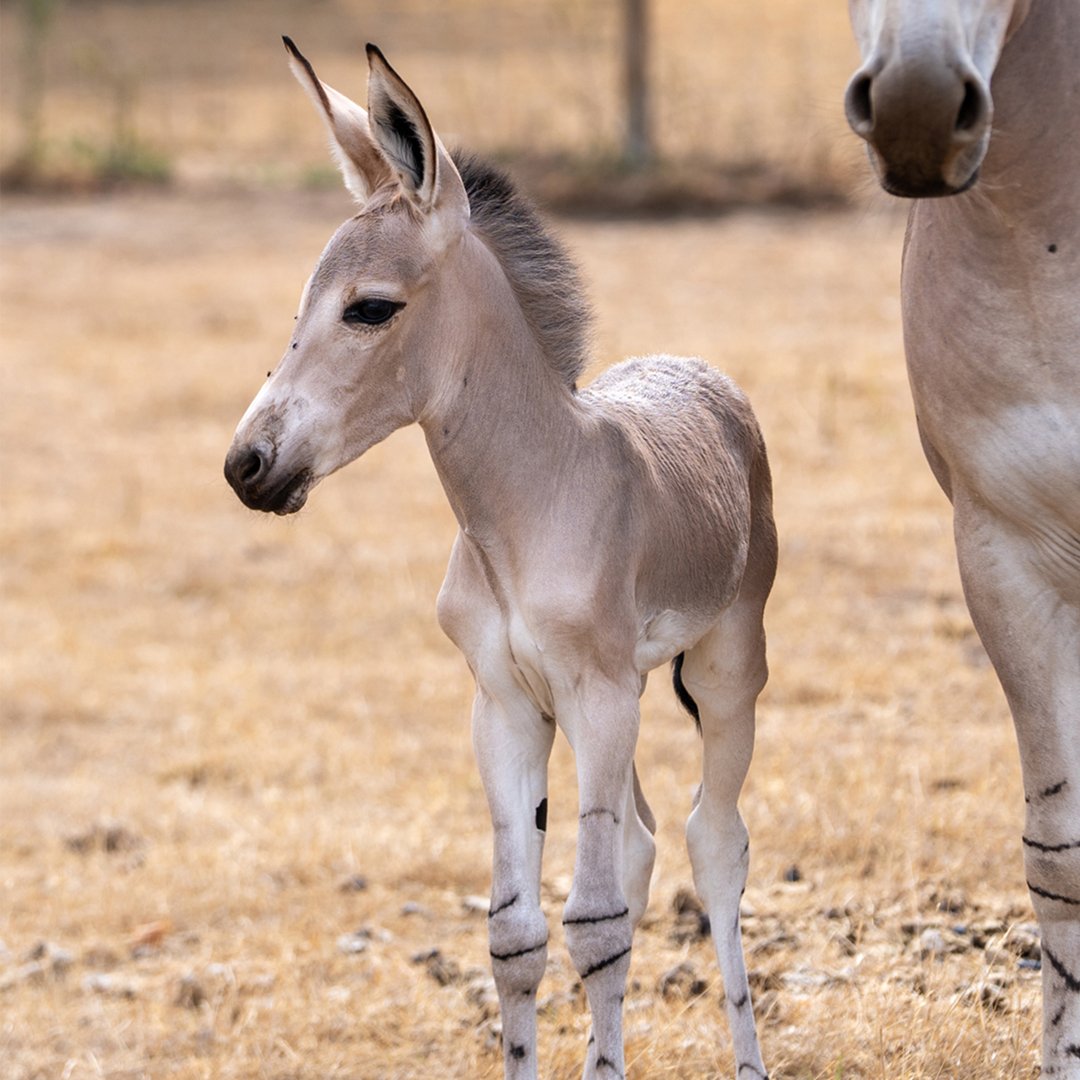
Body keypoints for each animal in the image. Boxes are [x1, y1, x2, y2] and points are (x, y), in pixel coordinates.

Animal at [224, 40, 777, 1080]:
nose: (247, 466)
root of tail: (703, 373)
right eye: (301, 305)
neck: (527, 505)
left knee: (713, 841)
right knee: (645, 842)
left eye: (370, 308)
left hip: (726, 669)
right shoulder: (507, 704)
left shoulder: (599, 695)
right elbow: (517, 934)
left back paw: (749, 1058)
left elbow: (596, 923)